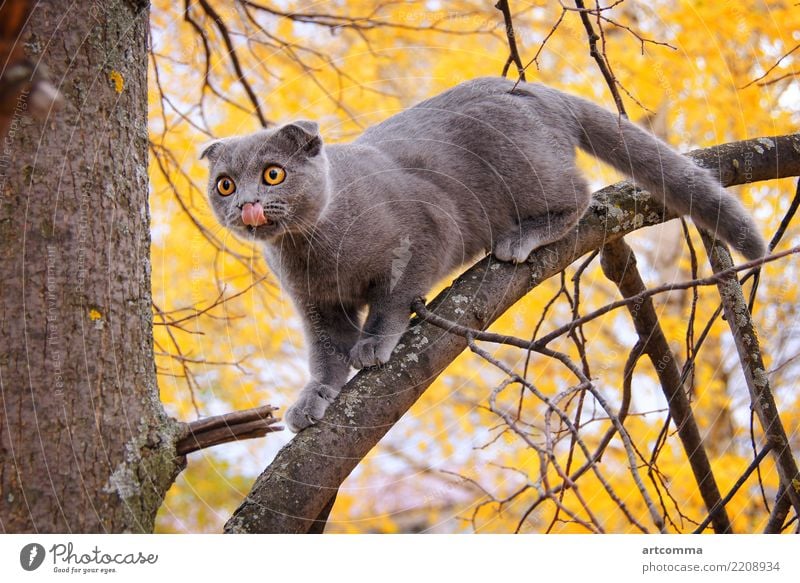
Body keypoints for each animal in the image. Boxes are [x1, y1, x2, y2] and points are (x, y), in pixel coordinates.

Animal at [198, 76, 764, 434]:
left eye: (273, 173)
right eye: (225, 184)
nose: (247, 205)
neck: (311, 248)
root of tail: (536, 88)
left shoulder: (428, 230)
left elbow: (392, 299)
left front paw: (374, 344)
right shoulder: (318, 306)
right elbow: (326, 355)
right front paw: (313, 398)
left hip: (526, 171)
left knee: (582, 195)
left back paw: (520, 238)